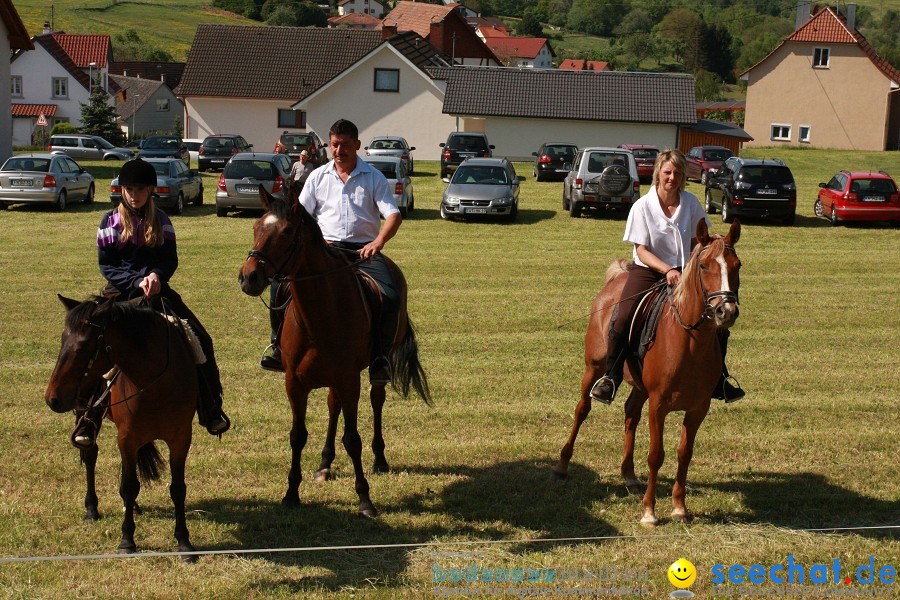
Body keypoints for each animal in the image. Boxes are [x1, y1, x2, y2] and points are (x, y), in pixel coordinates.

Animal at [45, 296, 199, 564]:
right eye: (63, 339)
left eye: (84, 346)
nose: (52, 398)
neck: (155, 383)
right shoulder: (127, 438)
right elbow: (129, 486)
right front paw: (127, 540)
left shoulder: (180, 438)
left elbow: (178, 488)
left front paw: (184, 542)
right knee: (90, 455)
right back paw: (92, 508)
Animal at [237, 186, 430, 516]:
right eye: (256, 227)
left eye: (286, 233)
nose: (248, 277)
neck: (320, 313)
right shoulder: (295, 383)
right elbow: (297, 435)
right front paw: (291, 493)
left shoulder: (349, 379)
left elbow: (353, 439)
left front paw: (365, 499)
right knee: (333, 405)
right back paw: (325, 463)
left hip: (371, 371)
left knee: (376, 401)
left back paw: (380, 459)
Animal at [552, 219, 740, 524]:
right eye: (704, 266)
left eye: (738, 265)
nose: (727, 311)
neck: (690, 342)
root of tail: (618, 278)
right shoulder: (659, 404)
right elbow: (656, 455)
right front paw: (650, 512)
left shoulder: (698, 408)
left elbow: (684, 453)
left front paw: (679, 507)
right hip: (594, 367)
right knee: (582, 410)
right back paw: (562, 465)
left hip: (639, 386)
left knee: (630, 413)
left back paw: (628, 475)